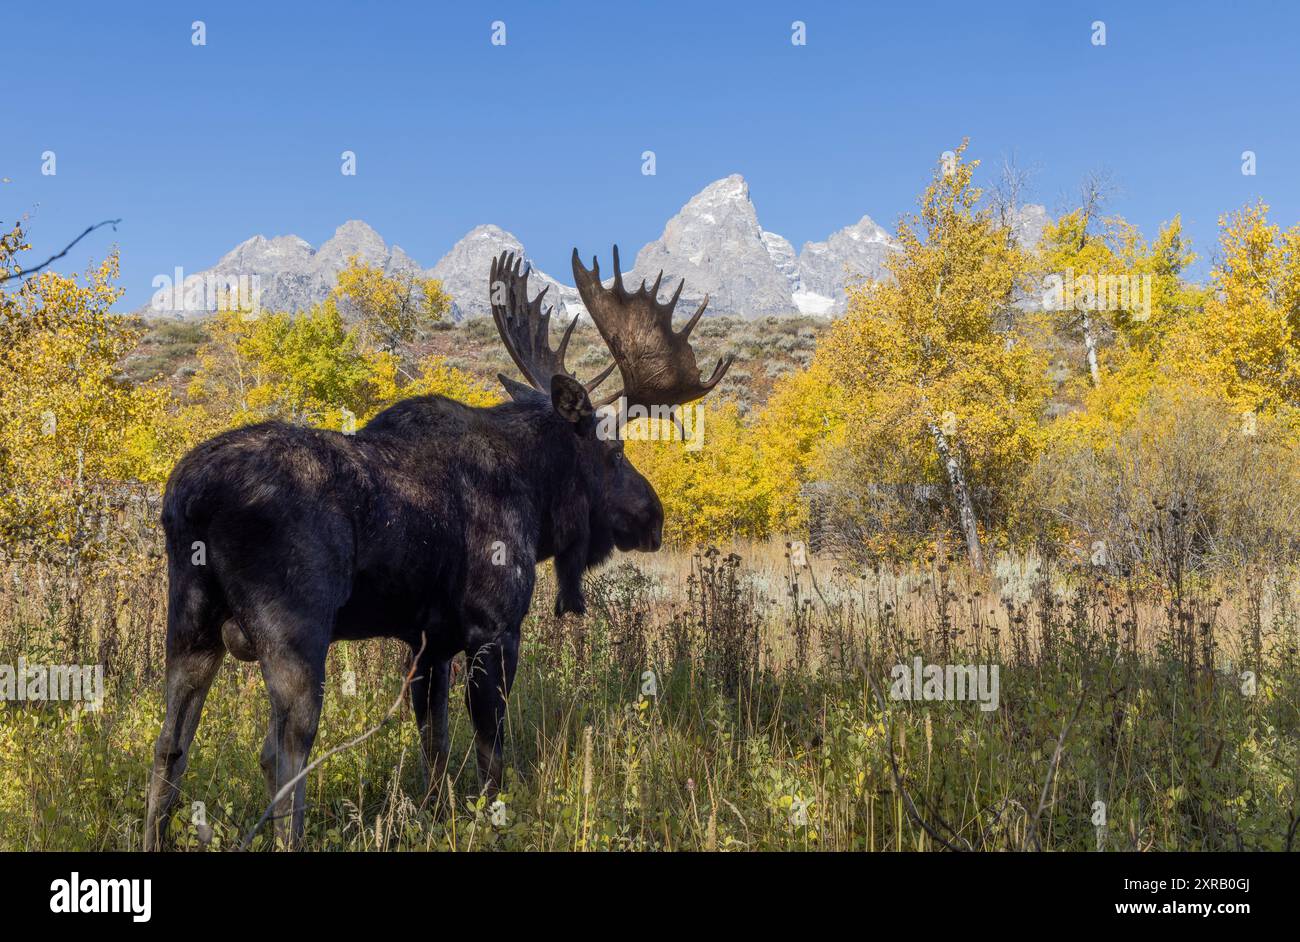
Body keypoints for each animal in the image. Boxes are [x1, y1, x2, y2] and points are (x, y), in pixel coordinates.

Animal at [143, 246, 732, 849]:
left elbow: (436, 749)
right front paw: (492, 819)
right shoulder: (494, 629)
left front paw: (431, 813)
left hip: (190, 626)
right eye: (614, 452)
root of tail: (192, 496)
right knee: (280, 754)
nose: (653, 516)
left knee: (168, 748)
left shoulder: (428, 643)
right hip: (295, 632)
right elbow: (491, 755)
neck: (537, 495)